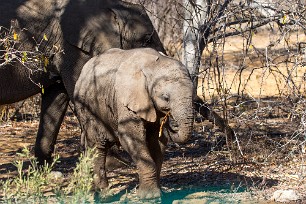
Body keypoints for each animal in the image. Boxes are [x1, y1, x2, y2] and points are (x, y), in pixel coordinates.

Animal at [0, 0, 165, 163]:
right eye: (147, 40)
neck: (113, 5)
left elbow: (56, 98)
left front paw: (43, 166)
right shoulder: (73, 50)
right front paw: (116, 163)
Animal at [73, 47, 194, 198]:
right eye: (165, 97)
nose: (168, 121)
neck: (153, 64)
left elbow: (156, 142)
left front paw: (158, 192)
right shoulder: (125, 100)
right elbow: (130, 135)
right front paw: (150, 196)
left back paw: (90, 190)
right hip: (87, 108)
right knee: (98, 146)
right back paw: (104, 194)